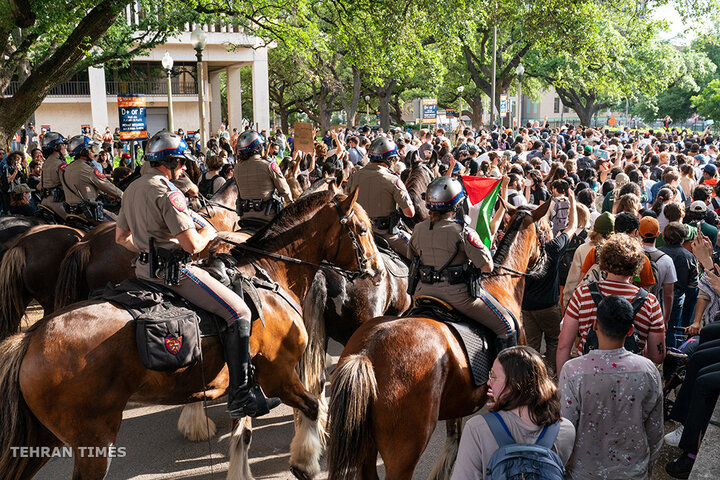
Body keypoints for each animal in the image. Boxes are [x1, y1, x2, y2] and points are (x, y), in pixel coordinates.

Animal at [0, 189, 382, 480]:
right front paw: (305, 460)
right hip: (93, 441)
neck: (267, 274)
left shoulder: (245, 381)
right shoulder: (278, 374)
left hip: (41, 439)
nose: (377, 270)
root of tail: (31, 339)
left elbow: (244, 432)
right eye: (362, 229)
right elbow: (311, 407)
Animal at [326, 201, 552, 478]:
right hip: (404, 451)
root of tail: (366, 353)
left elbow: (454, 444)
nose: (546, 262)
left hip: (366, 447)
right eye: (546, 228)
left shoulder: (460, 401)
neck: (501, 285)